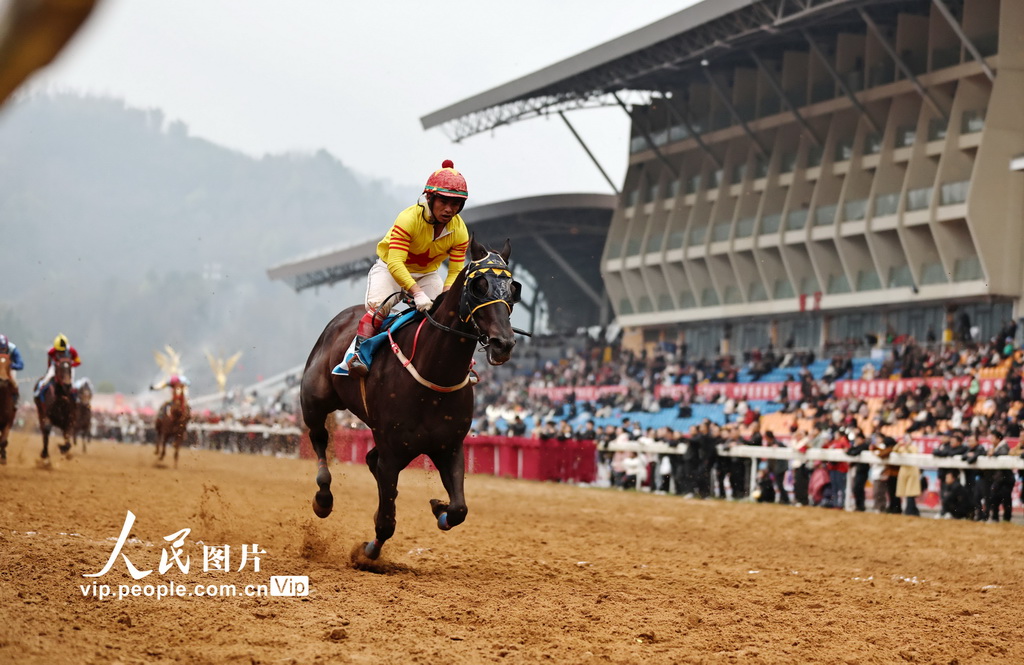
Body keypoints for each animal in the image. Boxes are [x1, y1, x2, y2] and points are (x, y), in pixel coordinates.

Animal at [300, 236, 521, 562]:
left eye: (513, 288)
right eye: (478, 285)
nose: (503, 343)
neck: (434, 375)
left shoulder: (448, 446)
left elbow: (459, 509)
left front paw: (439, 508)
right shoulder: (393, 452)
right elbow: (386, 521)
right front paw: (368, 552)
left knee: (369, 458)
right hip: (314, 402)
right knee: (319, 442)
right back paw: (323, 499)